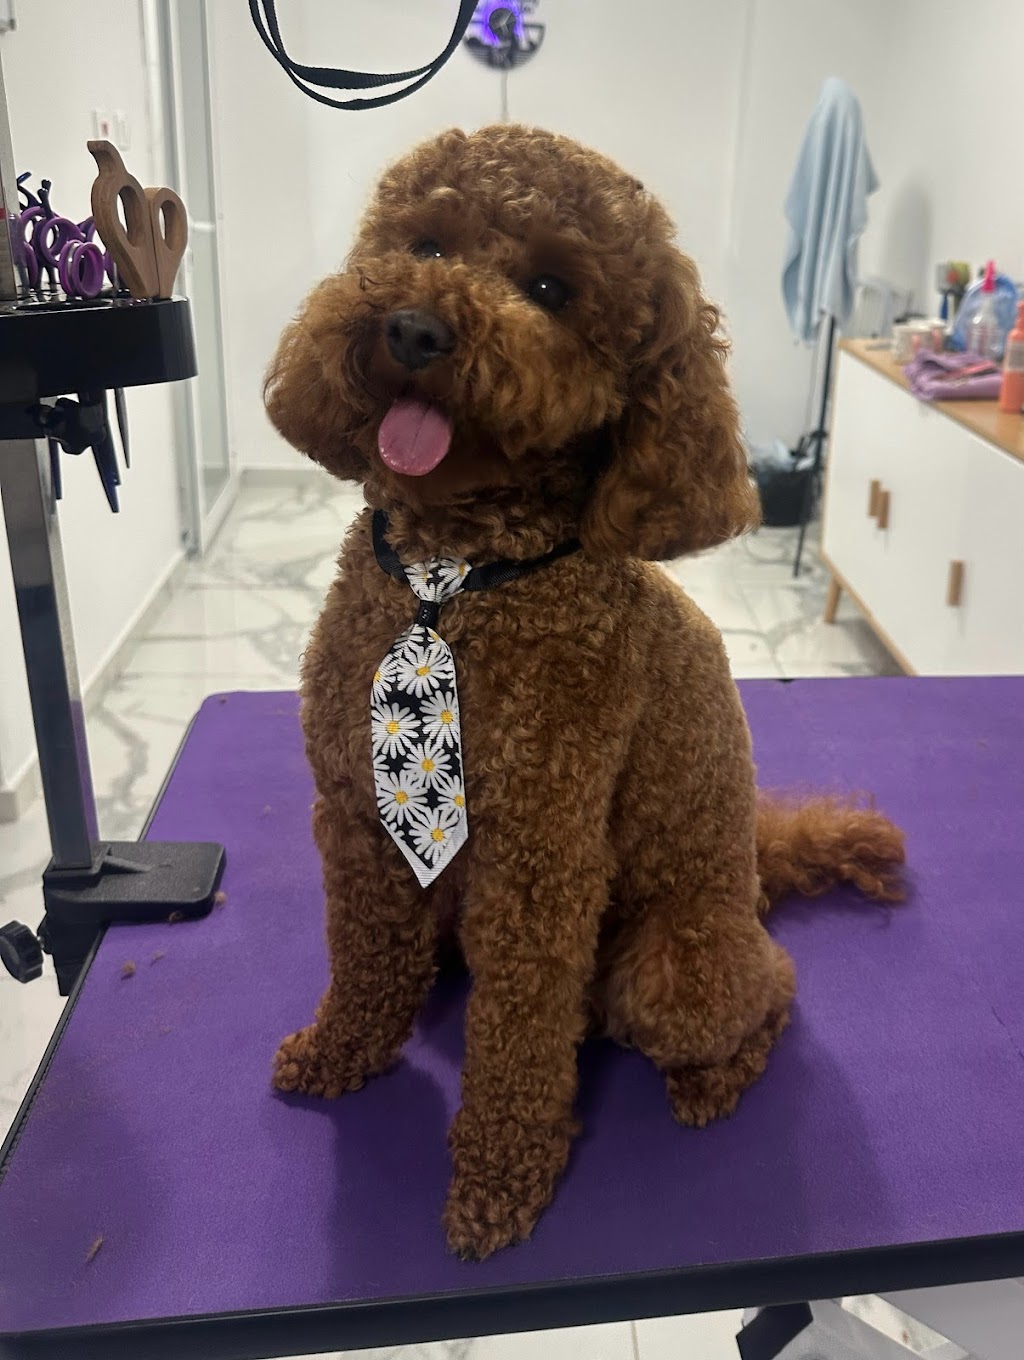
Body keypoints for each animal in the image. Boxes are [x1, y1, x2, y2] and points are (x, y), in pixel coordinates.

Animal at [265, 124, 904, 1260]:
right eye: (426, 242)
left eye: (551, 288)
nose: (416, 327)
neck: (452, 578)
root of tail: (754, 877)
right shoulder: (353, 817)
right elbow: (365, 960)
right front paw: (342, 1054)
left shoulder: (540, 860)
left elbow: (520, 1040)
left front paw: (499, 1183)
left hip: (673, 966)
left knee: (768, 996)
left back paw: (712, 1080)